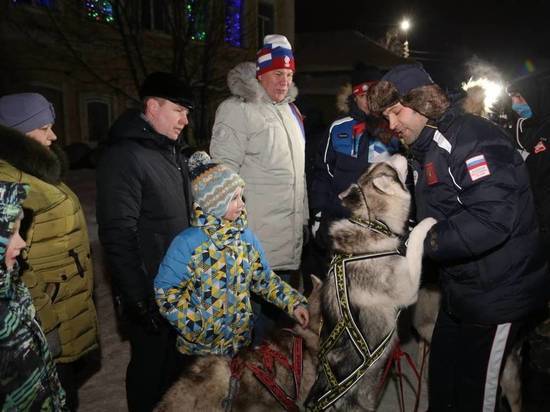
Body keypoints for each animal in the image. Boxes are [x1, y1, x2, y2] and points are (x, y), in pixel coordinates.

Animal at [306, 153, 436, 410]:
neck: (373, 223)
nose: (397, 152)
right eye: (389, 170)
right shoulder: (407, 289)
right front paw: (423, 225)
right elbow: (414, 243)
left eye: (374, 167)